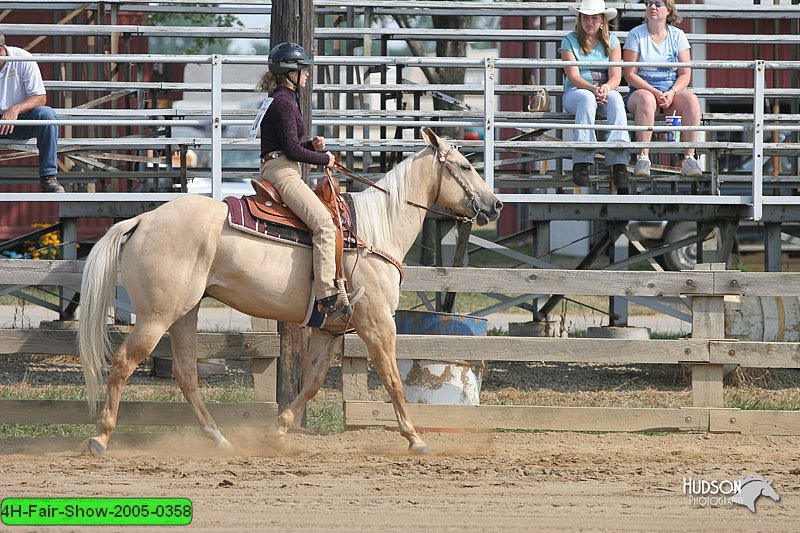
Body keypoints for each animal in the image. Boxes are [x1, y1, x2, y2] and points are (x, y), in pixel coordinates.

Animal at [75, 128, 500, 454]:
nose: (495, 205)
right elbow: (393, 380)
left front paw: (277, 432)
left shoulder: (331, 328)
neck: (375, 230)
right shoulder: (377, 323)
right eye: (466, 166)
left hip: (184, 314)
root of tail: (145, 218)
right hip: (156, 316)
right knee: (122, 364)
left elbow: (311, 383)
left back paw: (220, 439)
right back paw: (100, 438)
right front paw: (415, 439)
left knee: (186, 375)